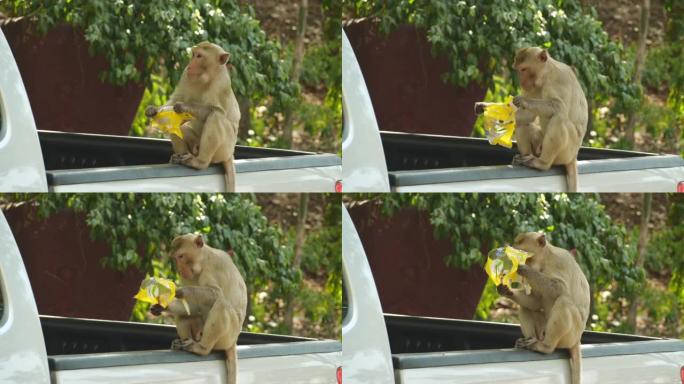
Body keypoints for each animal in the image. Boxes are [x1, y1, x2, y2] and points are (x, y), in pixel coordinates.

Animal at [145, 42, 240, 192]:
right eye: (193, 54)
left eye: (199, 56)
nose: (190, 64)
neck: (206, 77)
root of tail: (230, 154)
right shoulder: (185, 74)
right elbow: (175, 99)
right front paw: (153, 110)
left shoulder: (222, 83)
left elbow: (216, 110)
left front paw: (184, 106)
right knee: (180, 128)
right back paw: (180, 156)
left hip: (224, 149)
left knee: (216, 117)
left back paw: (200, 162)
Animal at [151, 234, 247, 384]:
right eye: (175, 258)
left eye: (181, 256)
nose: (179, 270)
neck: (203, 259)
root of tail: (233, 342)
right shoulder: (189, 276)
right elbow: (191, 305)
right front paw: (162, 305)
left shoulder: (209, 270)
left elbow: (216, 294)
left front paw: (178, 290)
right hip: (201, 333)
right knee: (185, 314)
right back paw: (183, 342)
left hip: (227, 337)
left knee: (221, 304)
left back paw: (202, 348)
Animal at [494, 232, 592, 384]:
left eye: (521, 246)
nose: (510, 248)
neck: (544, 261)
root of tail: (577, 340)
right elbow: (535, 302)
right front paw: (506, 290)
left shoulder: (559, 261)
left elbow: (560, 288)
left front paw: (523, 268)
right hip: (543, 331)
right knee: (526, 307)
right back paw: (529, 340)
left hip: (570, 336)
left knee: (564, 301)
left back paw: (545, 347)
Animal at [512, 47, 588, 192]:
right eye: (518, 70)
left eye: (523, 69)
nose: (521, 82)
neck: (546, 75)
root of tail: (574, 157)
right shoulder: (534, 87)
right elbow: (527, 116)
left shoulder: (559, 80)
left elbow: (559, 107)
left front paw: (523, 101)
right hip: (540, 146)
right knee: (523, 124)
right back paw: (525, 157)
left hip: (566, 152)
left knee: (559, 119)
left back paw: (542, 163)